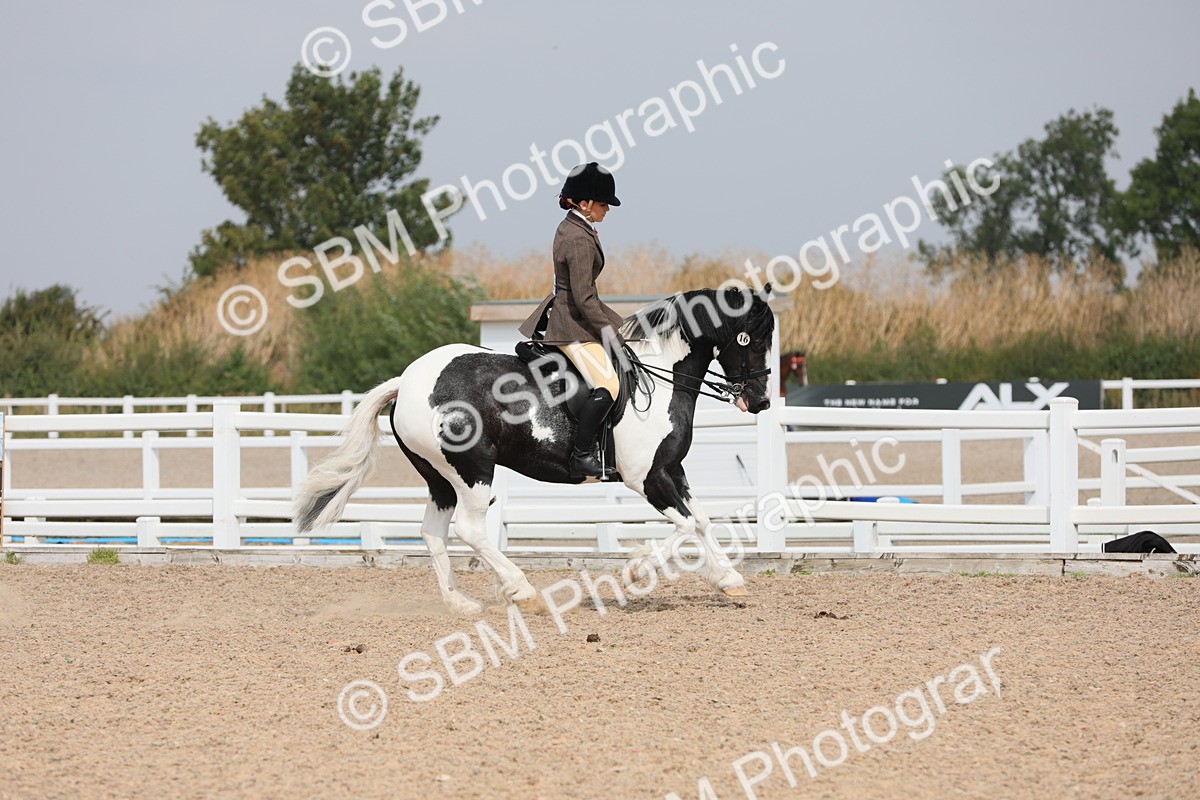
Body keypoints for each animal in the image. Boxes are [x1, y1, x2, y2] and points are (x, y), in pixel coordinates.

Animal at [293, 285, 775, 614]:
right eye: (752, 339)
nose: (760, 402)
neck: (662, 383)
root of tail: (407, 380)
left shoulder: (671, 469)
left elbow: (702, 521)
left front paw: (728, 578)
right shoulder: (646, 477)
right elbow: (687, 525)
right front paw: (636, 569)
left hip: (439, 477)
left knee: (433, 532)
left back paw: (461, 603)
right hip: (472, 470)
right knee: (470, 530)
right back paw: (522, 590)